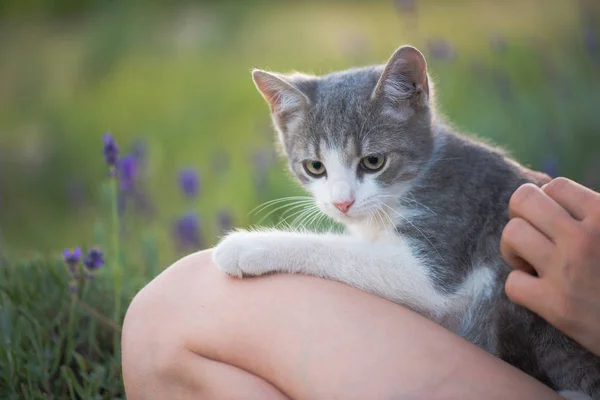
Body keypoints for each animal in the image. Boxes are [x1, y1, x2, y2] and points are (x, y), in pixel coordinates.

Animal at [212, 45, 600, 398]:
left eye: (373, 161)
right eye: (315, 167)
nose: (342, 202)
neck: (416, 179)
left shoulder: (449, 227)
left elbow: (351, 254)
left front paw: (247, 245)